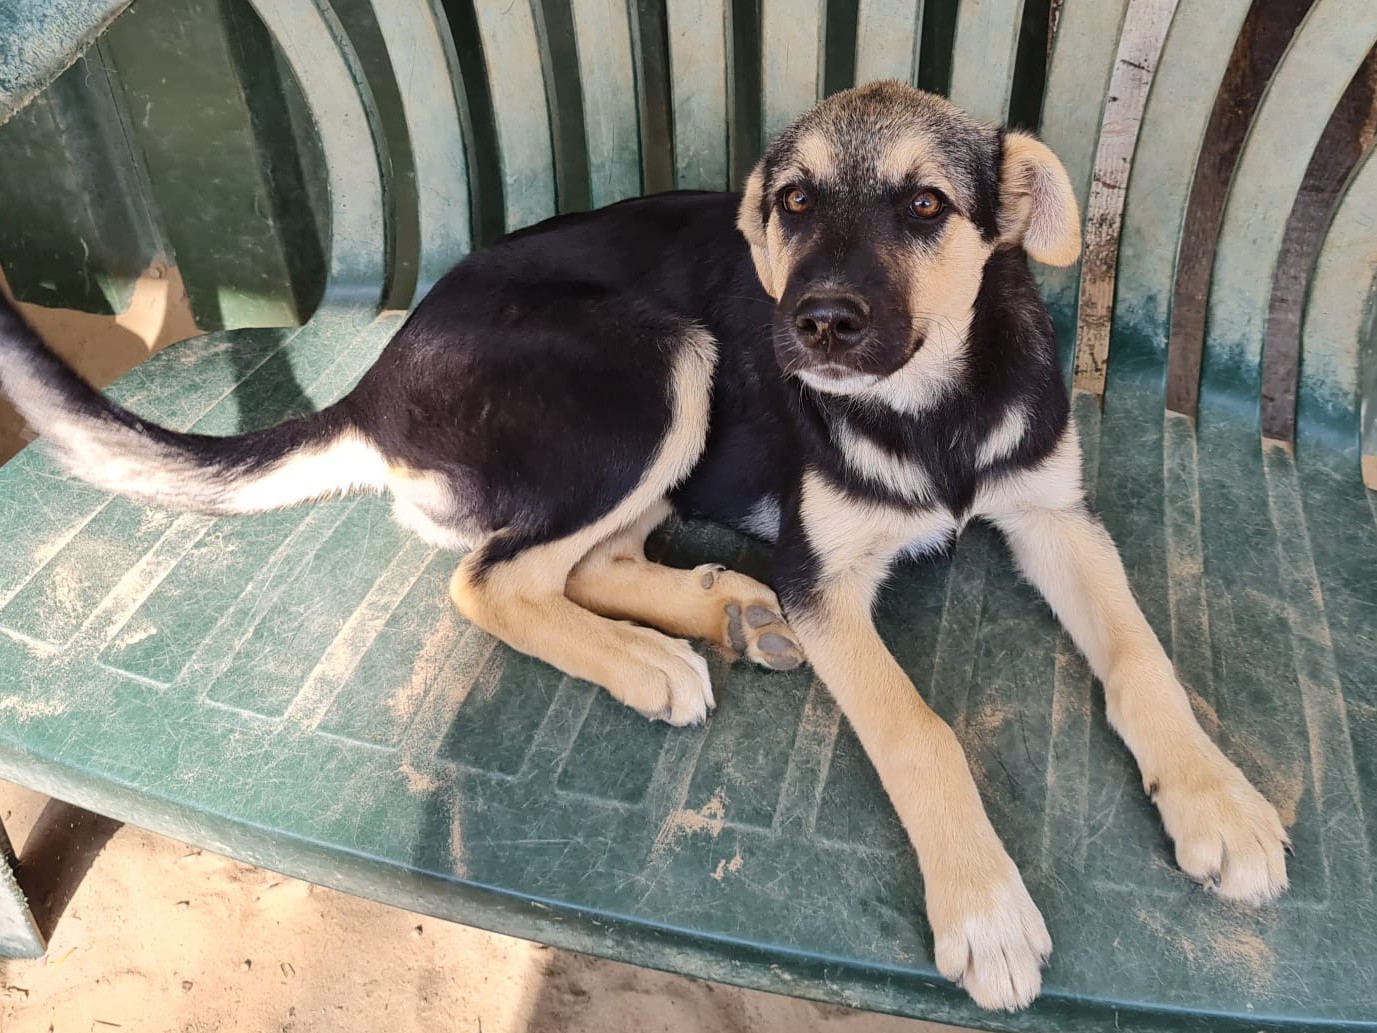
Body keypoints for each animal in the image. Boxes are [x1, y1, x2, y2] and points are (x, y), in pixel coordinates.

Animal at [0, 81, 1289, 1011]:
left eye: (927, 206)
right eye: (795, 204)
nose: (814, 324)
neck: (934, 409)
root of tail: (376, 379)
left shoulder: (1057, 518)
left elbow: (1143, 661)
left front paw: (1219, 801)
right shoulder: (825, 580)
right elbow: (919, 730)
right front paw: (983, 905)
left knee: (585, 561)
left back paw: (724, 610)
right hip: (661, 359)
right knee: (494, 576)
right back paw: (649, 658)